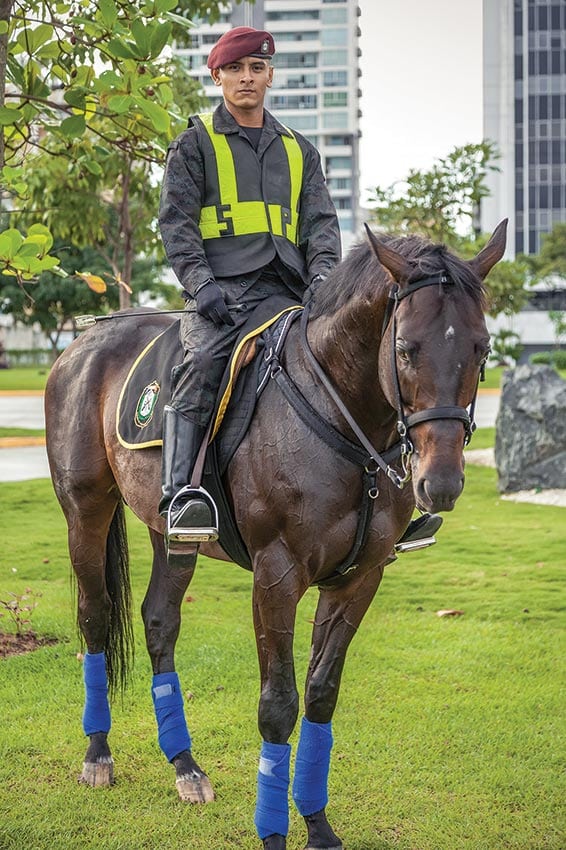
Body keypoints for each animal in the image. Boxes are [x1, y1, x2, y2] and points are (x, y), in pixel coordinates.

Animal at [45, 221, 506, 850]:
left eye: (482, 349)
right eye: (406, 349)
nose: (440, 483)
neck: (344, 424)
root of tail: (84, 340)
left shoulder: (360, 579)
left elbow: (320, 695)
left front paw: (317, 824)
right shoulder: (276, 575)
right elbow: (278, 704)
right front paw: (274, 831)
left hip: (174, 534)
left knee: (160, 623)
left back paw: (185, 765)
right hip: (85, 512)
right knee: (93, 617)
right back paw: (97, 753)